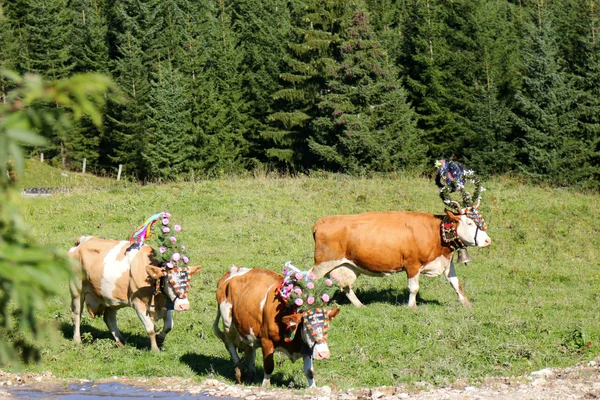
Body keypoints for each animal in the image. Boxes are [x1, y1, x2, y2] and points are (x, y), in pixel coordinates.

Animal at [67, 236, 200, 352]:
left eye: (188, 281)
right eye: (169, 281)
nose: (184, 306)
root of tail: (82, 241)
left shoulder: (165, 303)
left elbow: (169, 326)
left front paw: (160, 339)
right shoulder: (138, 303)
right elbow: (150, 328)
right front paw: (155, 349)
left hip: (111, 298)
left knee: (109, 318)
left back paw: (121, 342)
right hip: (76, 291)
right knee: (76, 315)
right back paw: (77, 340)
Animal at [310, 205, 492, 308]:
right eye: (469, 223)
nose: (487, 240)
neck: (435, 233)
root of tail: (323, 221)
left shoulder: (446, 262)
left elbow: (456, 284)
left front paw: (466, 304)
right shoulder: (412, 264)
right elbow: (414, 288)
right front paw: (412, 307)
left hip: (347, 265)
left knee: (346, 286)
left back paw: (360, 305)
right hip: (323, 263)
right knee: (308, 280)